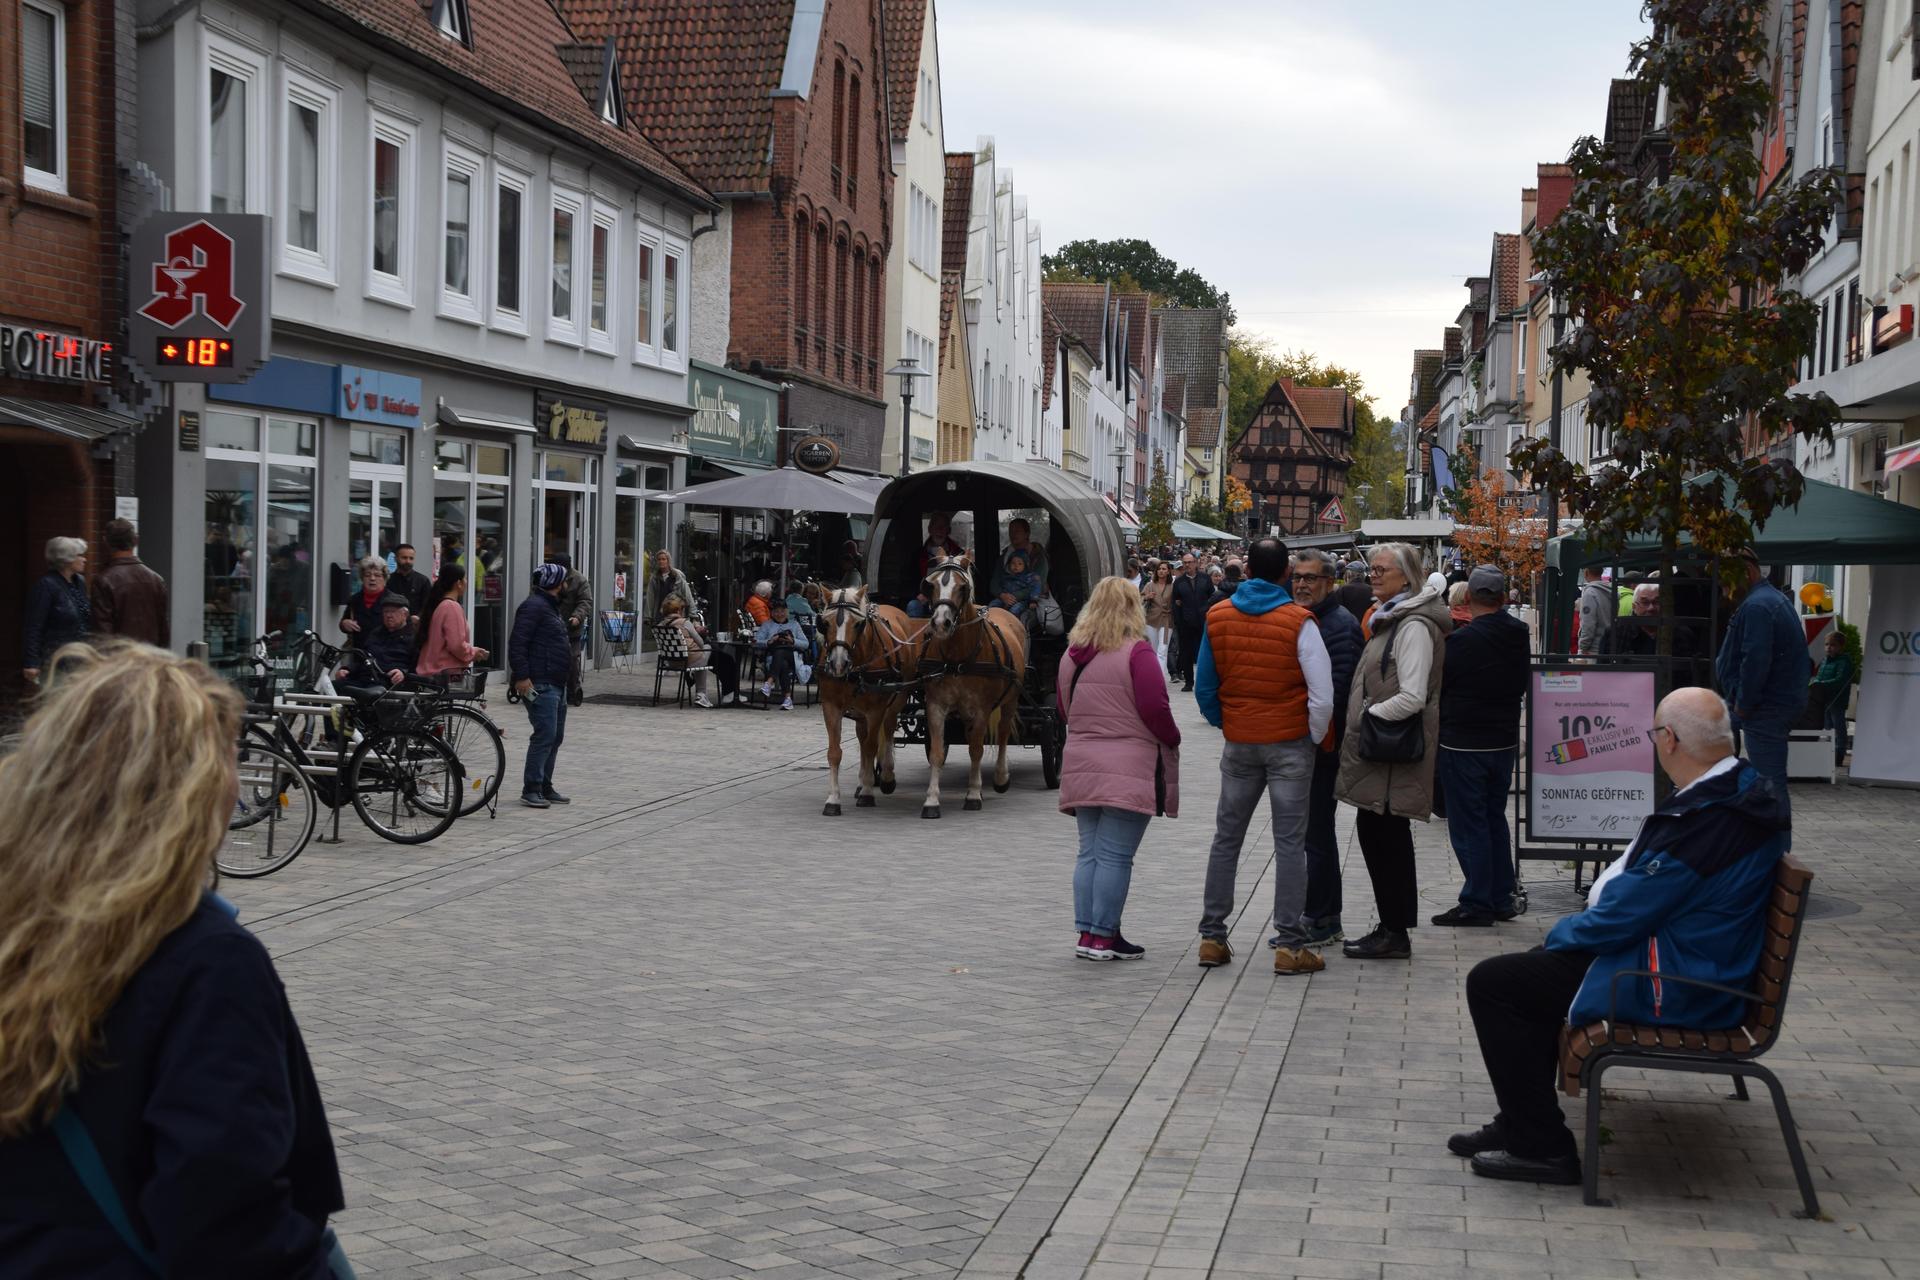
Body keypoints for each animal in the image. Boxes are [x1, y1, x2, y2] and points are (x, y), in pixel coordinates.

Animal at [802, 587, 921, 817]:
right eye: (825, 623)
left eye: (858, 624)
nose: (838, 663)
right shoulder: (831, 706)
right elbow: (835, 753)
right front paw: (833, 799)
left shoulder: (875, 710)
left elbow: (871, 747)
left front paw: (867, 792)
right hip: (860, 714)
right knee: (862, 736)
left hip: (897, 699)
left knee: (888, 730)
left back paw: (885, 777)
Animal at [917, 552, 1029, 821]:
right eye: (931, 585)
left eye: (962, 587)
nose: (941, 623)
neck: (957, 657)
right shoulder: (935, 706)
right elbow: (937, 752)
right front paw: (932, 800)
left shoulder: (981, 710)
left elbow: (977, 750)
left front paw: (974, 794)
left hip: (1010, 699)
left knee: (1002, 733)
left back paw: (1000, 777)